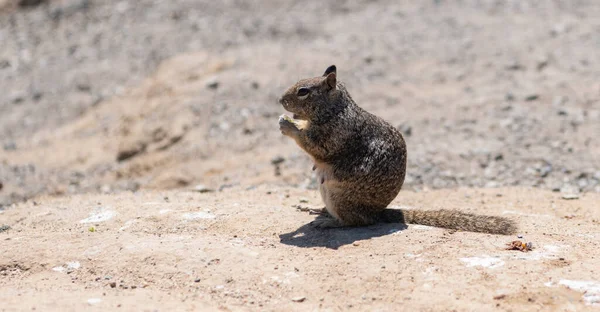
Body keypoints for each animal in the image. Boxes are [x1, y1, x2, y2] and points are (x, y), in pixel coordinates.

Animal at [276, 64, 516, 234]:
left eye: (303, 91)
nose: (280, 100)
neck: (335, 109)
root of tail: (379, 213)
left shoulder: (333, 134)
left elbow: (315, 147)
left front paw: (288, 125)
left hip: (339, 197)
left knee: (357, 222)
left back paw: (329, 222)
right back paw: (318, 210)